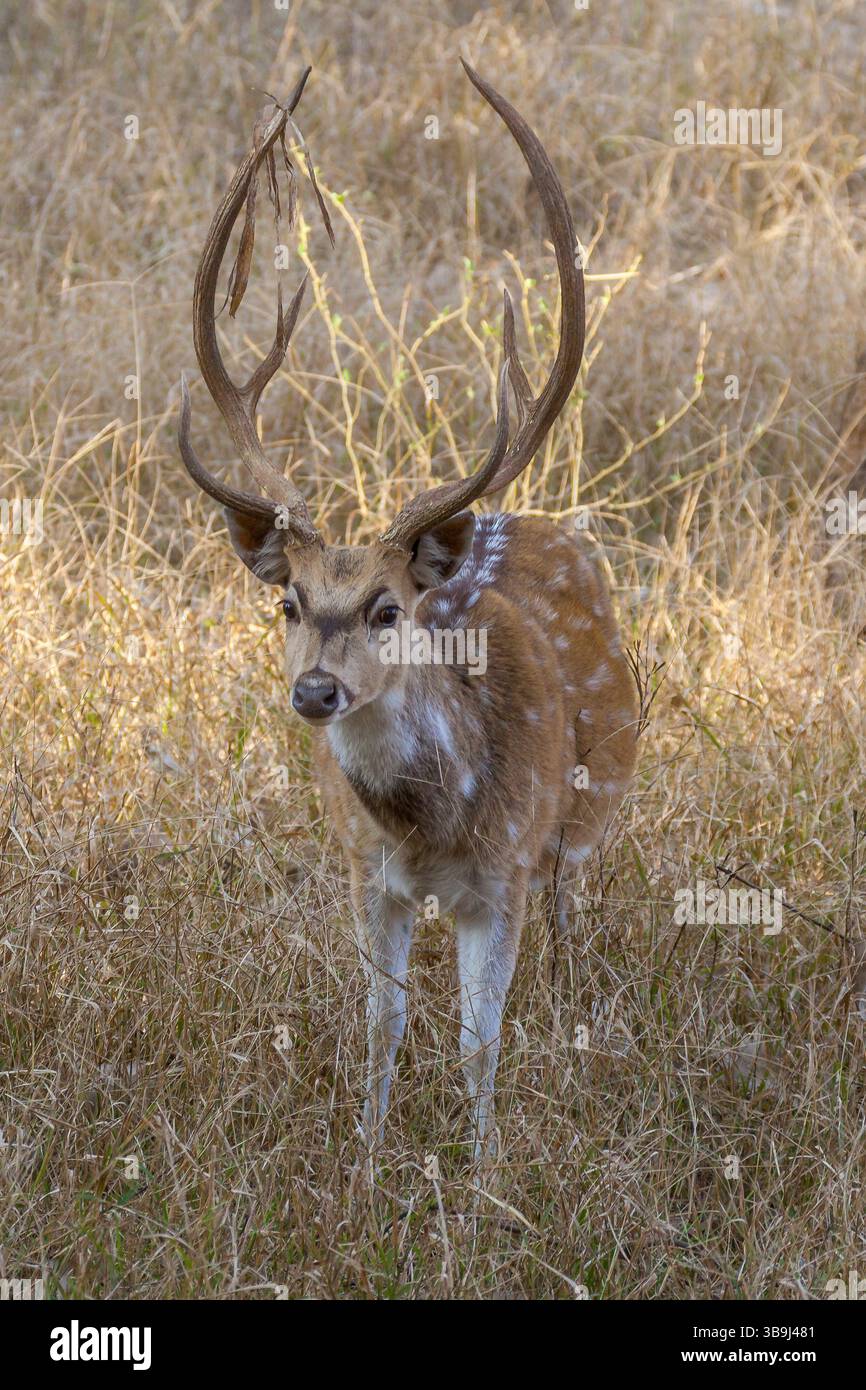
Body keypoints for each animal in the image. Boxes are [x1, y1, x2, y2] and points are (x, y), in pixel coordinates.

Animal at [178, 62, 638, 1158]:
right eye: (289, 601)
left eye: (387, 608)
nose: (314, 691)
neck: (432, 823)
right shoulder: (363, 869)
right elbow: (381, 1024)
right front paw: (368, 1158)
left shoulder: (506, 873)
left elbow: (478, 1042)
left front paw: (484, 1175)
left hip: (590, 814)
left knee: (570, 941)